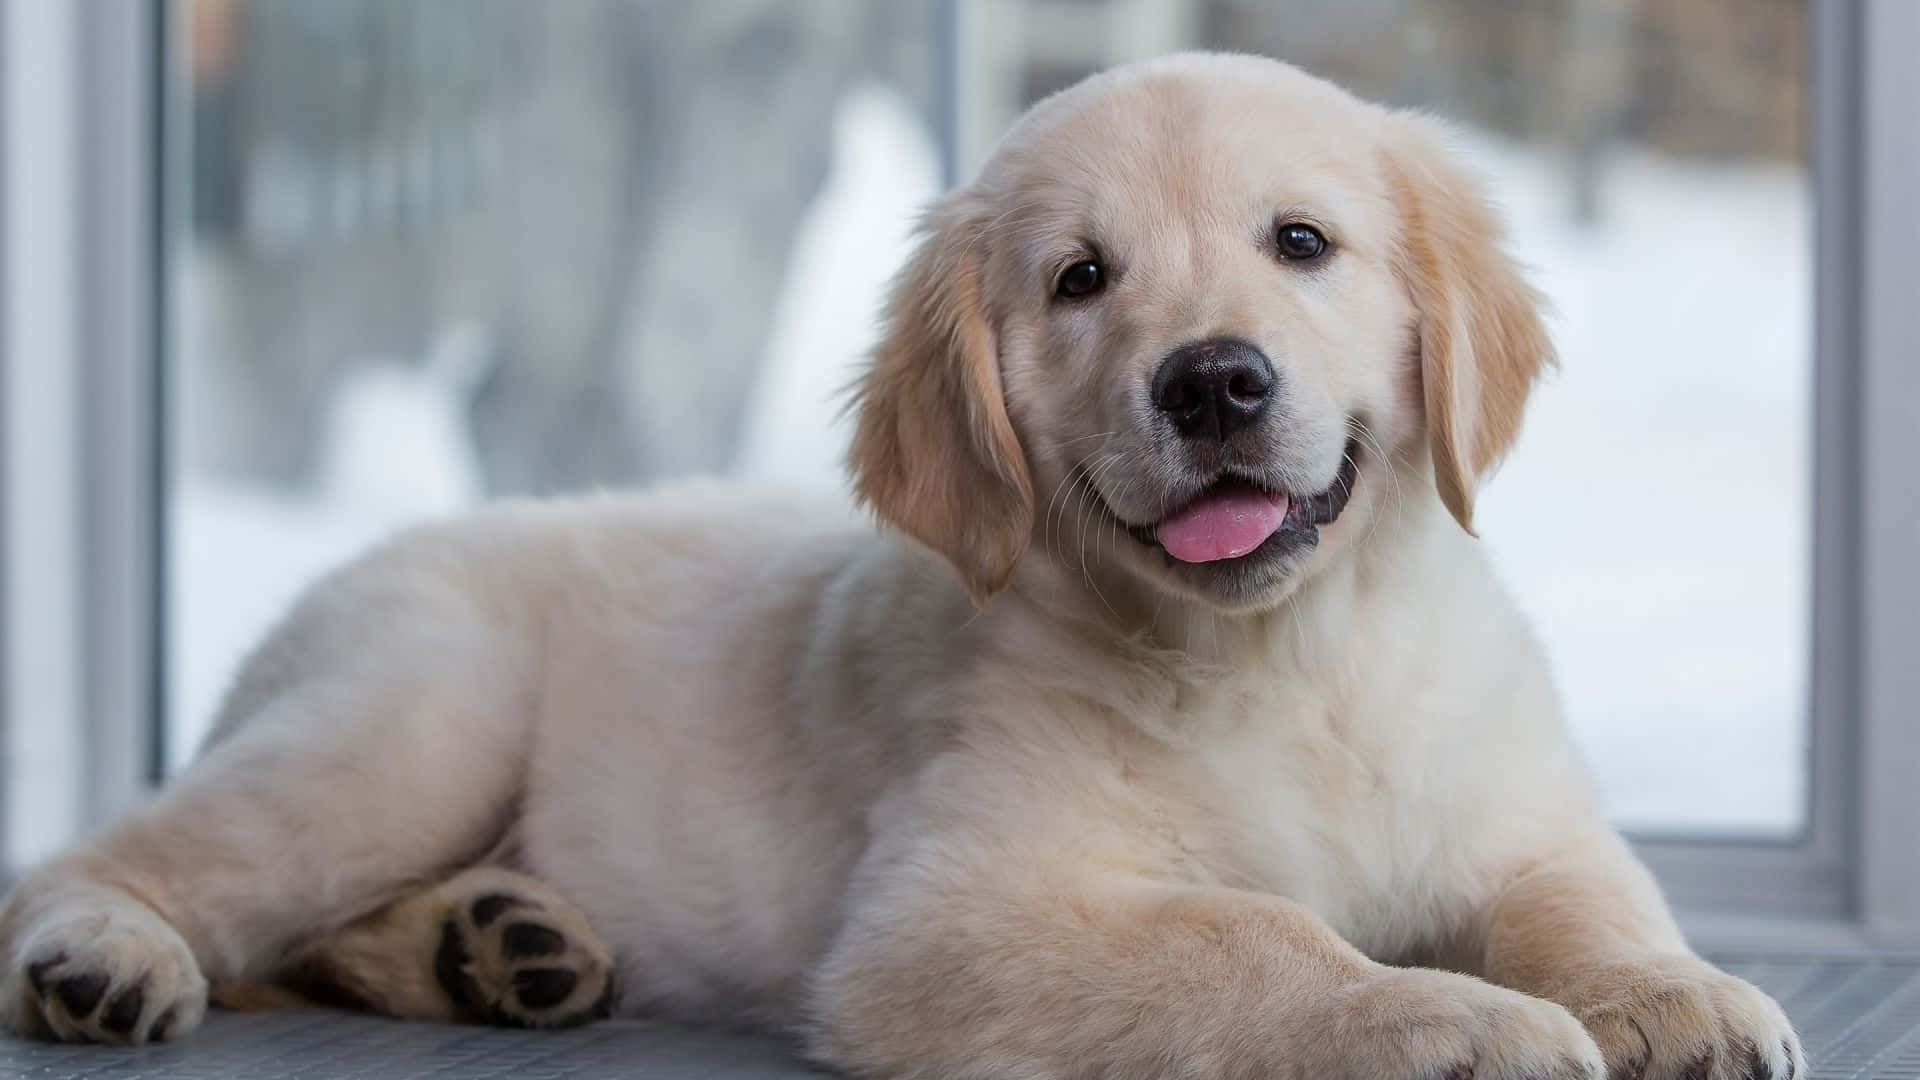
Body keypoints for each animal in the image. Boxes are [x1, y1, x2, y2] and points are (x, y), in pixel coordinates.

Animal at [0, 56, 1797, 1076]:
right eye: (1080, 281)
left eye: (1302, 244)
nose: (1212, 382)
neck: (1285, 657)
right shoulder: (950, 921)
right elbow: (1251, 940)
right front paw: (1460, 1023)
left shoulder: (1519, 814)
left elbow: (1591, 899)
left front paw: (1676, 995)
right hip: (404, 724)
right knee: (131, 862)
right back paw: (100, 958)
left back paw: (498, 948)